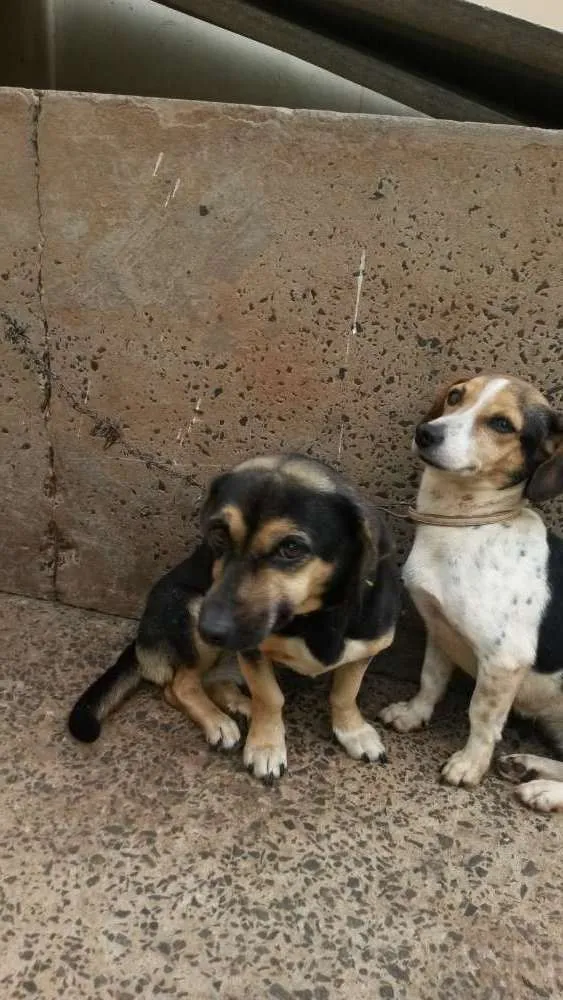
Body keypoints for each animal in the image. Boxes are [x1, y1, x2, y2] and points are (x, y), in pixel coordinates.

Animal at [68, 454, 400, 780]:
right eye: (218, 535)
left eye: (292, 548)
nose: (209, 629)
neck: (315, 616)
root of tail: (140, 640)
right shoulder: (252, 650)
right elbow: (270, 697)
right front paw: (266, 746)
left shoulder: (363, 651)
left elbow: (345, 694)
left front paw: (353, 732)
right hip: (189, 607)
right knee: (179, 686)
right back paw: (219, 721)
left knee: (212, 682)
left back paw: (240, 704)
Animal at [378, 376, 563, 812]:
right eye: (455, 396)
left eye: (501, 424)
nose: (425, 433)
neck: (467, 523)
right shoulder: (439, 628)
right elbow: (430, 679)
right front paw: (414, 715)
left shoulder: (504, 661)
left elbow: (482, 716)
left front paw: (469, 765)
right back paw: (527, 766)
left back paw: (544, 790)